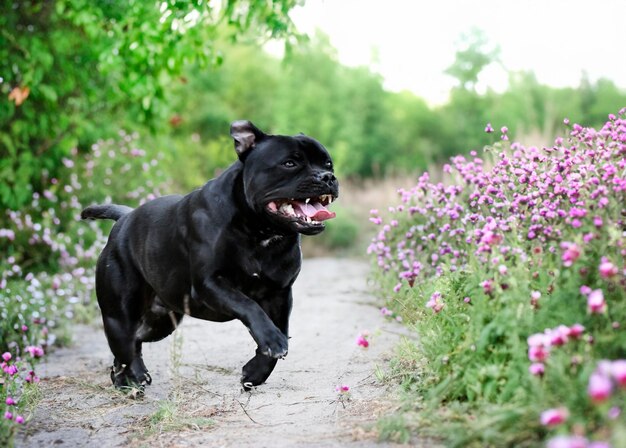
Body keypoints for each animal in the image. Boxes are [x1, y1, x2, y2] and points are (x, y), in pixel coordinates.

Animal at [82, 121, 336, 390]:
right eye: (289, 163)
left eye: (328, 164)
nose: (328, 177)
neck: (259, 230)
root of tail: (125, 218)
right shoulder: (210, 283)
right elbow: (248, 305)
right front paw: (272, 342)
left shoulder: (279, 293)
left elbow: (280, 328)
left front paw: (256, 371)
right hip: (118, 317)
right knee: (124, 347)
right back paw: (126, 383)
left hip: (159, 321)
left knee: (135, 342)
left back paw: (136, 375)